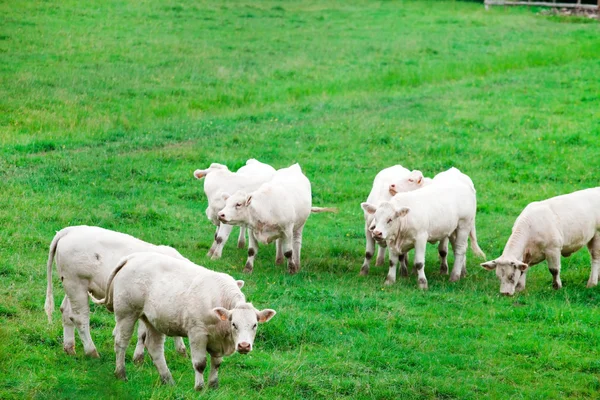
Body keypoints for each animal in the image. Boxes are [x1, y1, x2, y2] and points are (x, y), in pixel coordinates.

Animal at [44, 225, 188, 360]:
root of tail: (69, 230)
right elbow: (143, 333)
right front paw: (138, 357)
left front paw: (181, 350)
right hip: (76, 284)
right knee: (80, 318)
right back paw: (92, 352)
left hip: (73, 286)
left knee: (66, 311)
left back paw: (69, 348)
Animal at [98, 253, 276, 390]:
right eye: (234, 324)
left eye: (254, 325)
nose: (244, 346)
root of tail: (133, 257)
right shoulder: (197, 333)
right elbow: (200, 363)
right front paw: (199, 388)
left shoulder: (217, 339)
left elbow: (217, 363)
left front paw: (213, 386)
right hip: (126, 313)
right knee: (121, 343)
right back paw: (121, 374)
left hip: (152, 320)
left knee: (155, 348)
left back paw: (168, 380)